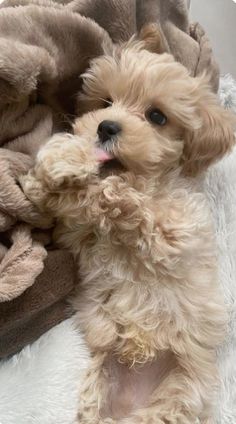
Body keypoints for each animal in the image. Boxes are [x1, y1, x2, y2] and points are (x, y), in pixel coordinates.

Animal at [21, 26, 235, 424]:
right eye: (105, 101)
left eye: (157, 116)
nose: (105, 127)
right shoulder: (74, 233)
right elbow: (64, 203)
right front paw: (59, 163)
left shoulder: (178, 230)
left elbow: (132, 205)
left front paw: (108, 187)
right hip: (100, 383)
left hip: (179, 394)